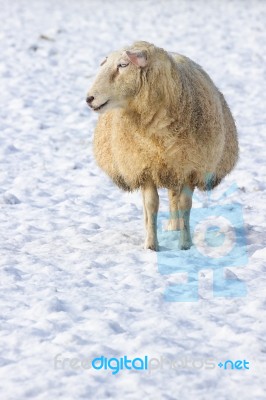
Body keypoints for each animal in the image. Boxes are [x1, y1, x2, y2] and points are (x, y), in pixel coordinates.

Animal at [87, 42, 239, 252]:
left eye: (123, 65)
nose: (89, 98)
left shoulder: (191, 168)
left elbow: (185, 204)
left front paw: (185, 243)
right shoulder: (144, 168)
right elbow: (151, 205)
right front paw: (151, 244)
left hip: (175, 167)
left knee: (174, 198)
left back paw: (175, 227)